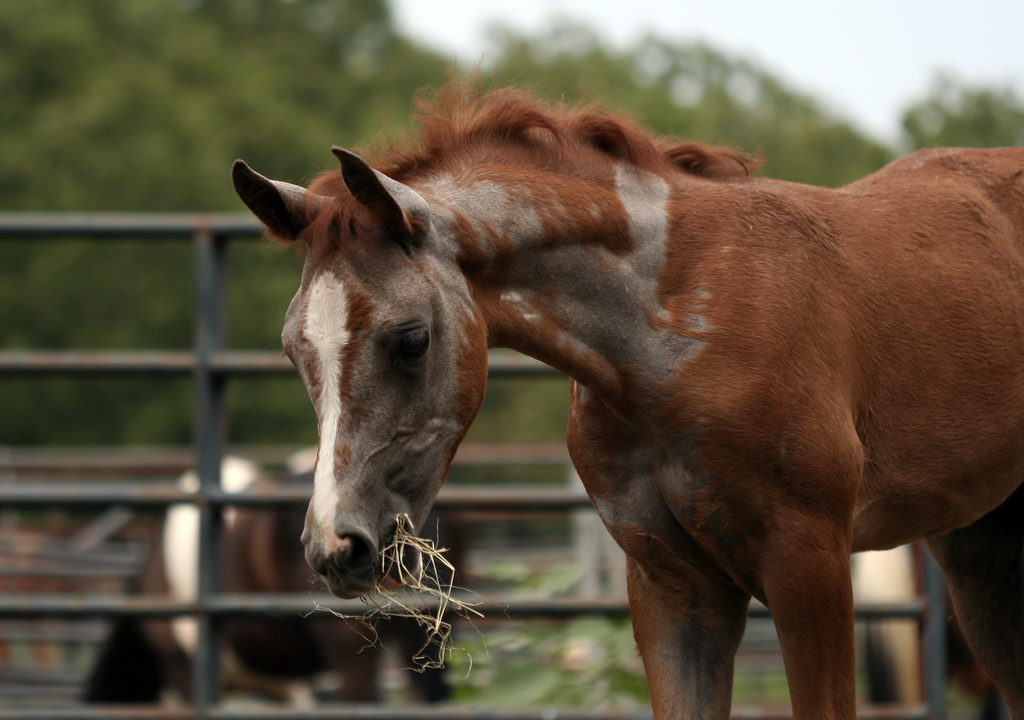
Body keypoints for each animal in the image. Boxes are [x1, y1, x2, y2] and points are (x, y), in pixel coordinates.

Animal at [232, 81, 1024, 716]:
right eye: (293, 350)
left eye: (411, 339)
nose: (334, 546)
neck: (678, 328)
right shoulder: (671, 584)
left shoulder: (810, 562)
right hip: (977, 544)